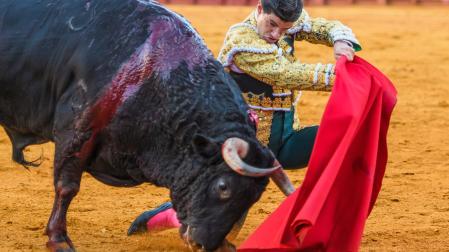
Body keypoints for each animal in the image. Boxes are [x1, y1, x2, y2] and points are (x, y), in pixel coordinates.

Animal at [0, 0, 294, 251]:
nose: (201, 244)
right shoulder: (76, 130)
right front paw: (58, 239)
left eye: (254, 198)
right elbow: (67, 186)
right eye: (223, 187)